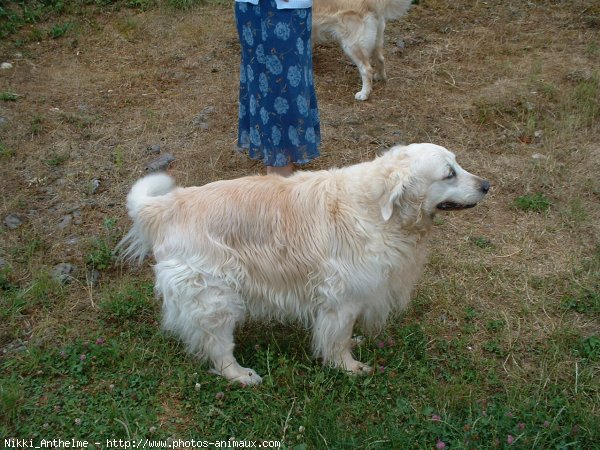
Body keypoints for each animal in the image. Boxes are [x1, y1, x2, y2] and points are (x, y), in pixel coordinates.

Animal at [117, 143, 488, 384]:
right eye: (449, 174)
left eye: (458, 165)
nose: (487, 185)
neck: (376, 210)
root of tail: (166, 206)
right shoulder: (342, 298)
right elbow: (336, 340)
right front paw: (348, 368)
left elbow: (343, 336)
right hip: (214, 297)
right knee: (218, 346)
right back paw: (240, 375)